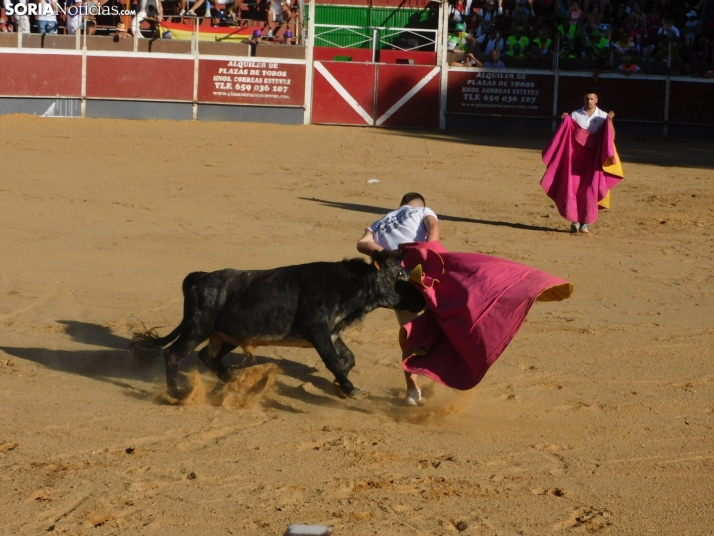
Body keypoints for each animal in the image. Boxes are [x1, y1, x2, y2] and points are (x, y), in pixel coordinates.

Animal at [129, 253, 422, 400]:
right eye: (399, 274)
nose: (422, 300)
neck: (347, 286)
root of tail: (201, 278)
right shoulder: (318, 332)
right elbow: (334, 361)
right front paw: (351, 390)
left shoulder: (334, 332)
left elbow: (348, 358)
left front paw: (339, 386)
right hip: (198, 327)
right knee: (175, 354)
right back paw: (177, 393)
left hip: (226, 335)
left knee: (208, 356)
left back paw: (235, 381)